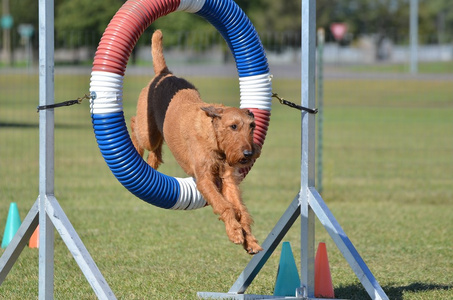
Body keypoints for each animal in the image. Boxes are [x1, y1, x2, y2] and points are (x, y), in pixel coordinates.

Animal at [130, 30, 262, 254]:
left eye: (252, 126)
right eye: (233, 126)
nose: (248, 154)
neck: (213, 137)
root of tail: (164, 74)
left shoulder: (228, 180)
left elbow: (240, 210)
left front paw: (250, 241)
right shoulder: (205, 179)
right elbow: (225, 206)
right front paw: (235, 232)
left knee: (156, 150)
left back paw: (151, 164)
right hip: (147, 132)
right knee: (135, 128)